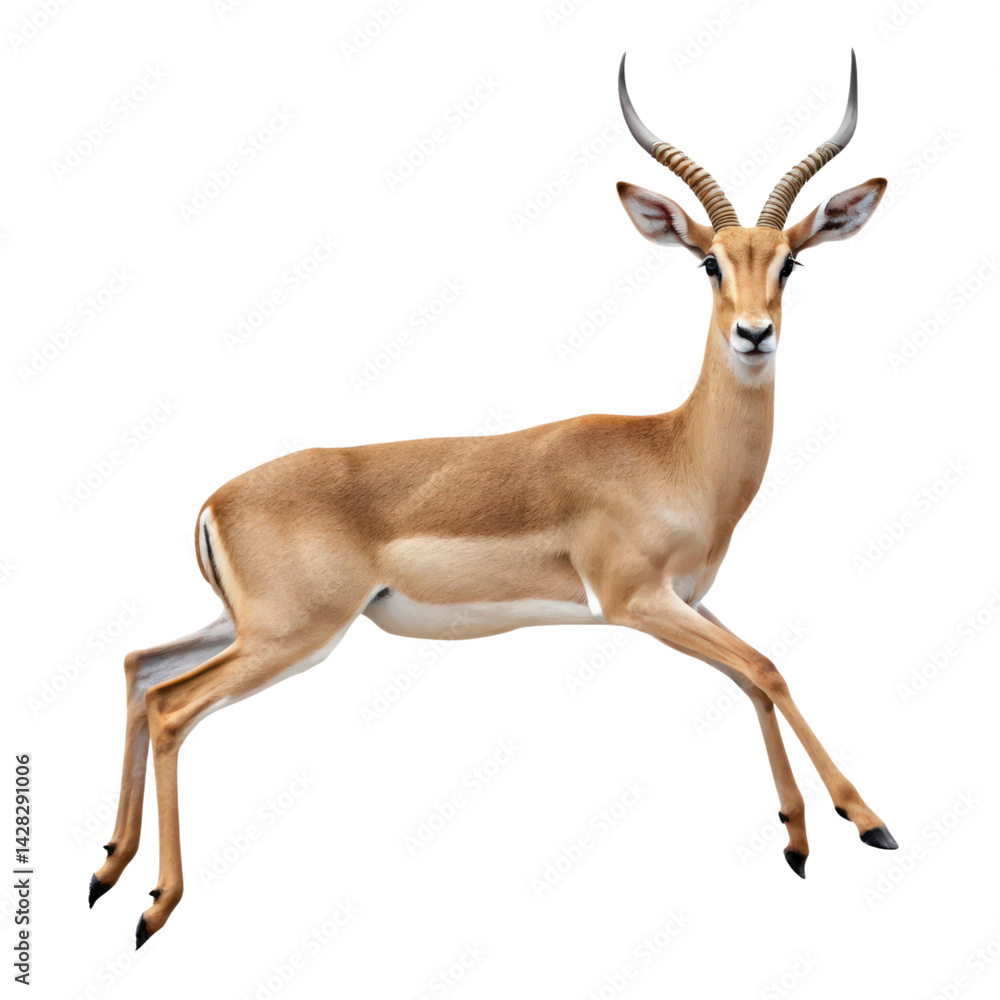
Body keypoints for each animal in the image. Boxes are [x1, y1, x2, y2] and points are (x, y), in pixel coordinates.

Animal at [90, 50, 897, 949]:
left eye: (789, 261)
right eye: (709, 263)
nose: (754, 334)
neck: (673, 452)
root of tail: (214, 500)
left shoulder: (688, 602)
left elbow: (755, 679)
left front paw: (798, 840)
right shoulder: (637, 602)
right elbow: (768, 667)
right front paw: (869, 823)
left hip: (244, 627)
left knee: (139, 669)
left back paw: (106, 869)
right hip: (291, 636)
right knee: (170, 706)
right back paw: (154, 907)